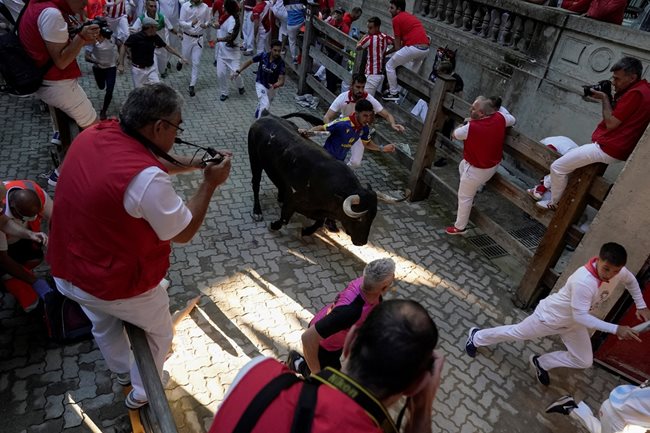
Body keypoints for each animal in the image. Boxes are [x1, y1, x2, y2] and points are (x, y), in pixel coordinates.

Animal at [248, 112, 380, 246]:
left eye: (373, 217)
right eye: (360, 218)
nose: (362, 242)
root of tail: (266, 117)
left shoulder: (320, 211)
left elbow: (319, 223)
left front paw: (305, 231)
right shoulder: (292, 200)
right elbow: (284, 219)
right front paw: (273, 225)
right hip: (255, 159)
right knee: (256, 184)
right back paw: (257, 212)